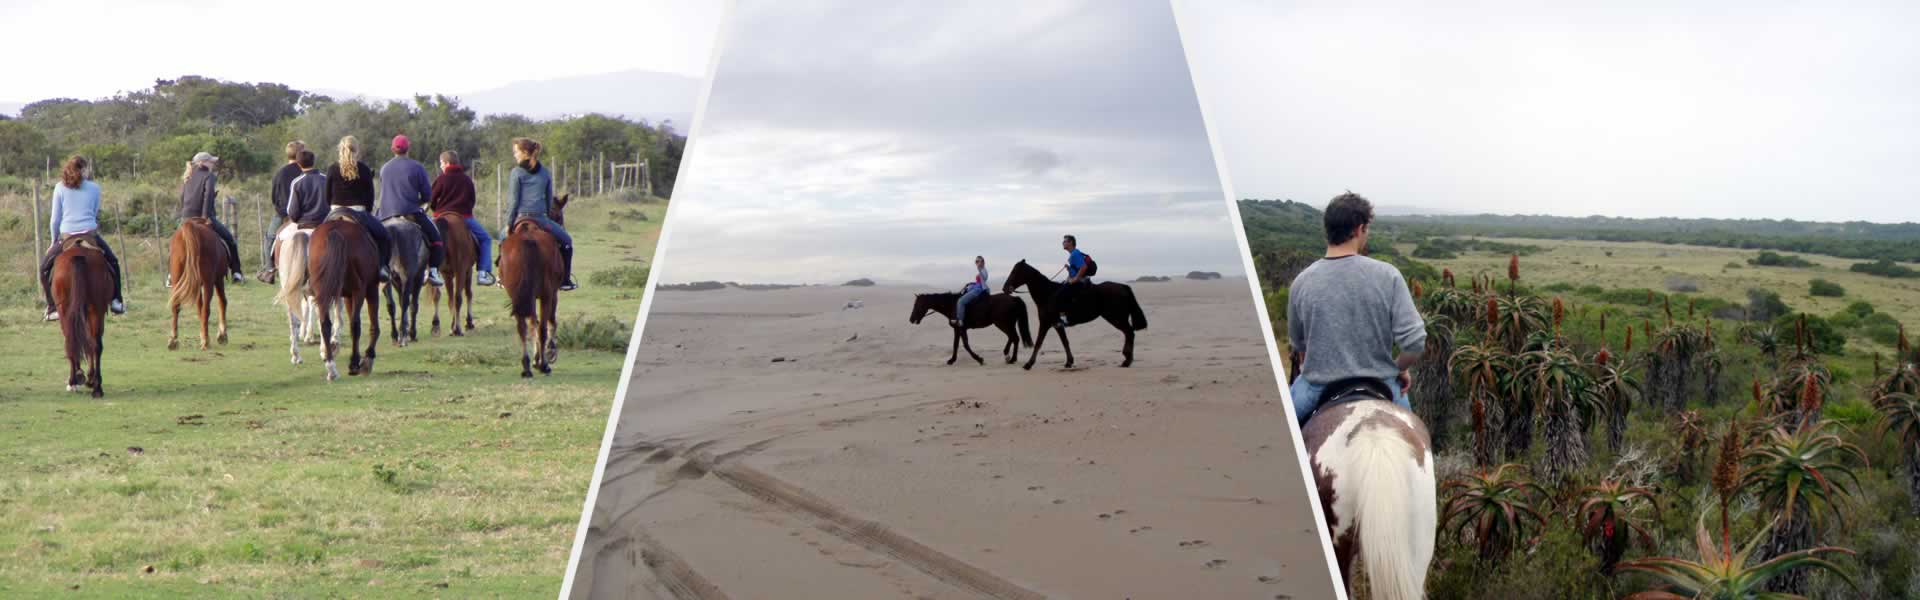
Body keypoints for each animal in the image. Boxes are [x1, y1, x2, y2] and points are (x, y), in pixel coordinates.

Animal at [52, 235, 111, 398]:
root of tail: (78, 254)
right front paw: (88, 377)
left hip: (68, 311)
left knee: (73, 340)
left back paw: (75, 380)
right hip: (95, 309)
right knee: (94, 343)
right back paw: (97, 387)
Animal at [305, 210, 380, 378]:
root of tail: (335, 230)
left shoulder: (347, 295)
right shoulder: (370, 289)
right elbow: (373, 326)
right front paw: (368, 358)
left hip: (323, 291)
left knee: (325, 324)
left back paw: (331, 366)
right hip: (359, 291)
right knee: (355, 324)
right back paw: (354, 363)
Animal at [499, 194, 564, 376]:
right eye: (559, 217)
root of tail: (527, 238)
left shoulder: (529, 297)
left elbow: (532, 323)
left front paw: (536, 358)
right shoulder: (552, 294)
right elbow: (550, 322)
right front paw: (548, 353)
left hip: (517, 295)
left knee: (522, 327)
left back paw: (526, 366)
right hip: (546, 295)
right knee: (542, 327)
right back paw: (544, 365)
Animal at [998, 259, 1144, 371]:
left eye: (1015, 271)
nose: (1005, 288)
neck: (1048, 294)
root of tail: (1123, 287)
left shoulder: (1045, 323)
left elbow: (1039, 342)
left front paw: (1028, 364)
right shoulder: (1057, 324)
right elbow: (1065, 342)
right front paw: (1069, 362)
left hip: (1116, 318)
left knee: (1129, 333)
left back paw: (1127, 360)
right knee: (1128, 333)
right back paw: (1127, 359)